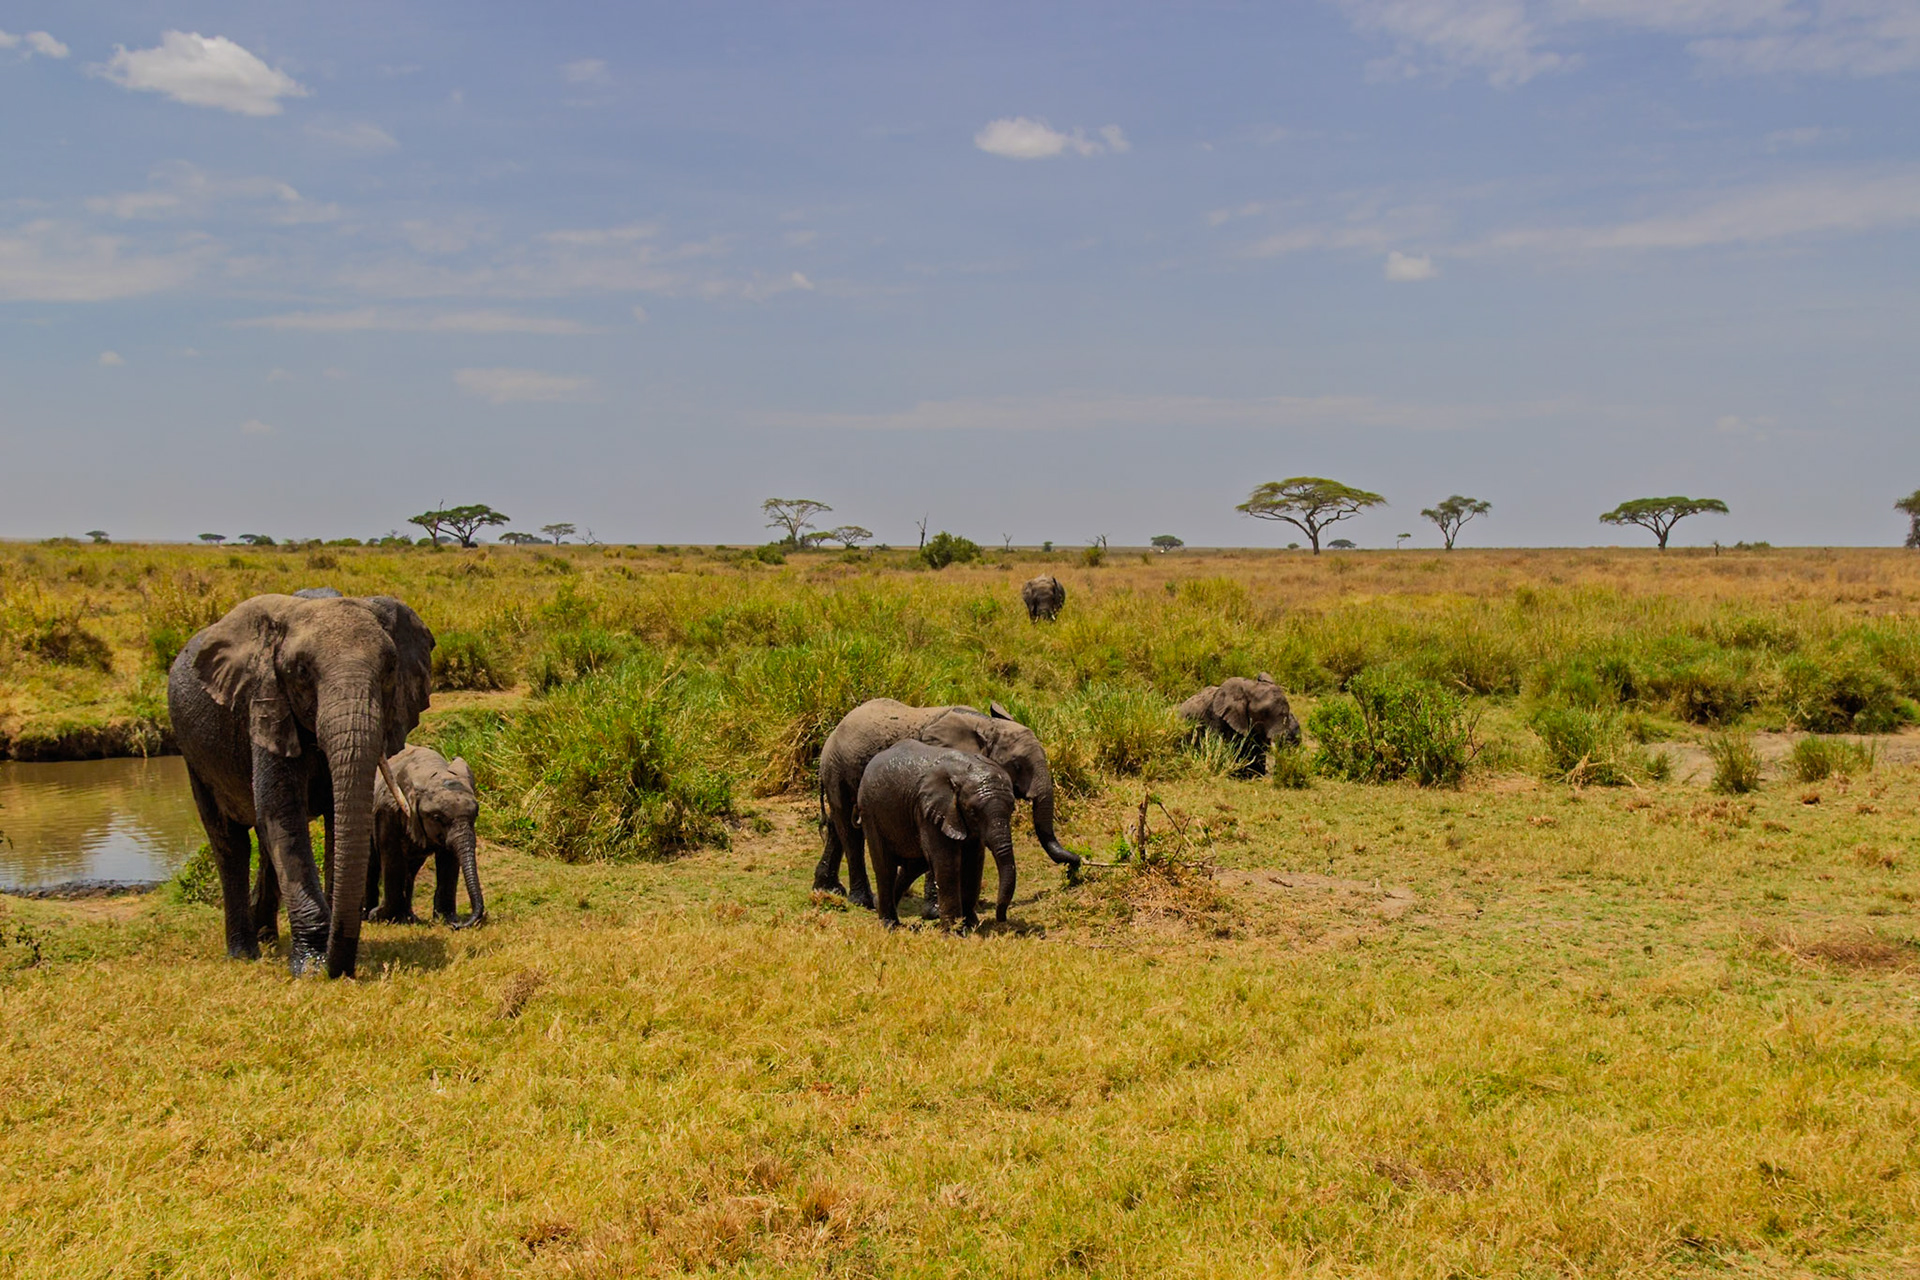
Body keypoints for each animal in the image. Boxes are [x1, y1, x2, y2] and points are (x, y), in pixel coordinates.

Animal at [168, 592, 435, 977]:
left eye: (389, 669)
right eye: (302, 672)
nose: (339, 970)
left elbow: (337, 819)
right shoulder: (265, 703)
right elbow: (283, 814)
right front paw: (311, 965)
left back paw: (265, 936)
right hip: (193, 753)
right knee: (230, 842)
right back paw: (244, 952)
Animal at [363, 744, 485, 928]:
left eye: (476, 815)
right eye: (437, 817)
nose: (459, 925)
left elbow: (448, 861)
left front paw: (447, 919)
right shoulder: (387, 811)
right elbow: (392, 859)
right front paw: (378, 916)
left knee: (410, 871)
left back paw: (409, 918)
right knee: (371, 865)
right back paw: (367, 915)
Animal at [812, 699, 1080, 910]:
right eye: (1016, 765)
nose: (1075, 867)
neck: (986, 725)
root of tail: (833, 733)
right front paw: (936, 911)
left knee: (838, 827)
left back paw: (827, 890)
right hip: (838, 768)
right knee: (850, 831)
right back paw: (862, 901)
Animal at [857, 741, 1019, 930]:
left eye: (1012, 809)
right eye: (973, 812)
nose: (1002, 918)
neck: (963, 771)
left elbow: (974, 862)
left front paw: (971, 925)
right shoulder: (928, 810)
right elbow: (946, 862)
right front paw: (955, 931)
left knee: (914, 866)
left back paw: (880, 909)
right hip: (869, 811)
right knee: (885, 867)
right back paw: (889, 924)